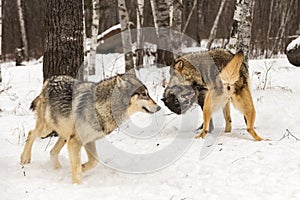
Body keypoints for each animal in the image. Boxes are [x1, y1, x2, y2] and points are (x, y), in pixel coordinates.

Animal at [20, 74, 162, 184]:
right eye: (144, 95)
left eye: (148, 94)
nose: (159, 107)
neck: (101, 108)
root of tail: (50, 79)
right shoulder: (76, 142)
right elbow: (78, 168)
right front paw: (77, 185)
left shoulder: (87, 141)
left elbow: (94, 162)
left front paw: (81, 169)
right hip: (47, 129)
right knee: (31, 133)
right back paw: (24, 159)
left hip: (65, 136)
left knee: (52, 151)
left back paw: (58, 170)